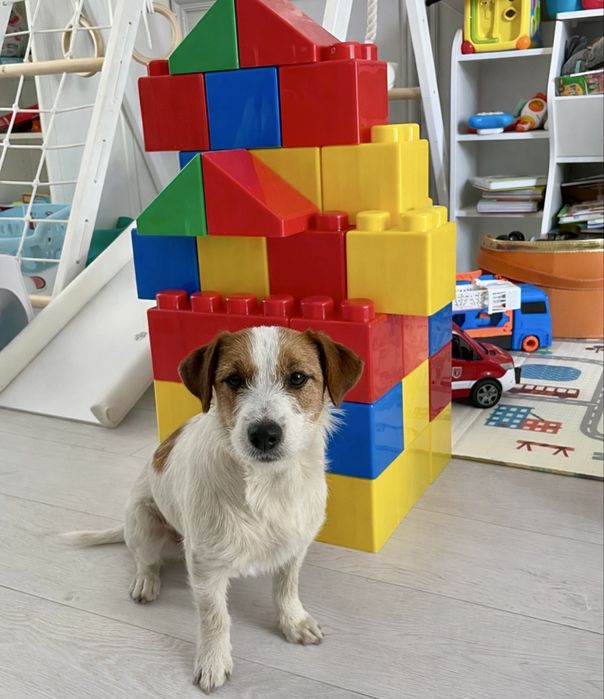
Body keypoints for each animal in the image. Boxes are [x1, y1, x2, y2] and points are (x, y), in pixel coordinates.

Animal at [64, 326, 363, 693]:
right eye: (233, 379)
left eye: (297, 378)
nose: (264, 435)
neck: (267, 486)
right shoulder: (206, 567)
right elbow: (215, 618)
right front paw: (213, 662)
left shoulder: (295, 547)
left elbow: (286, 589)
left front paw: (293, 622)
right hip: (144, 522)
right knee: (145, 561)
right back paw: (146, 582)